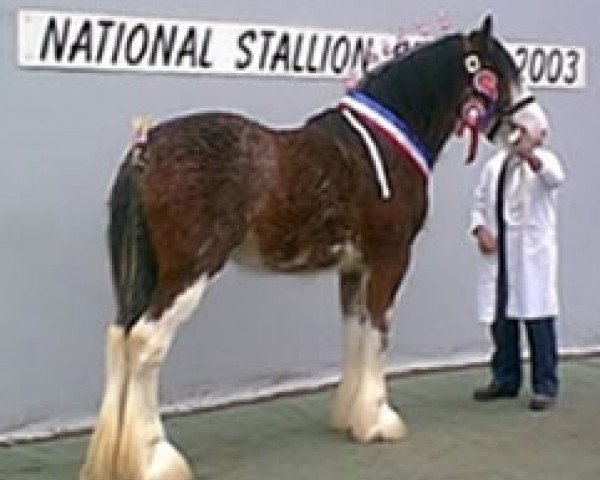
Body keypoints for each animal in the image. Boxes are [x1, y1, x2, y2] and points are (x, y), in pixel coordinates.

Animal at [82, 16, 552, 480]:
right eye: (497, 72)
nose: (537, 129)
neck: (383, 146)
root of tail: (146, 147)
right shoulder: (390, 258)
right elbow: (379, 330)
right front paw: (379, 421)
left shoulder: (354, 266)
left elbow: (355, 331)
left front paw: (350, 417)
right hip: (188, 272)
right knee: (145, 342)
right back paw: (155, 459)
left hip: (149, 274)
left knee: (120, 337)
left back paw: (116, 458)